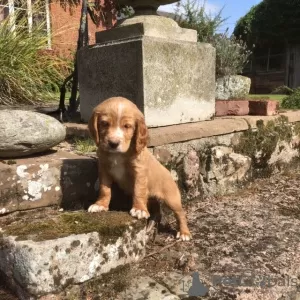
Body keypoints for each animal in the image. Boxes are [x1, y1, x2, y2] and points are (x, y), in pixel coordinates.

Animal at [88, 96, 191, 241]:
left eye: (127, 126)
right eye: (104, 123)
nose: (113, 143)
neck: (117, 155)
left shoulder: (139, 171)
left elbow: (138, 190)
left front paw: (139, 209)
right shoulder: (104, 169)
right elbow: (104, 189)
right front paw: (100, 205)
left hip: (172, 198)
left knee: (180, 213)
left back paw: (184, 233)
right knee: (157, 209)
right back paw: (151, 224)